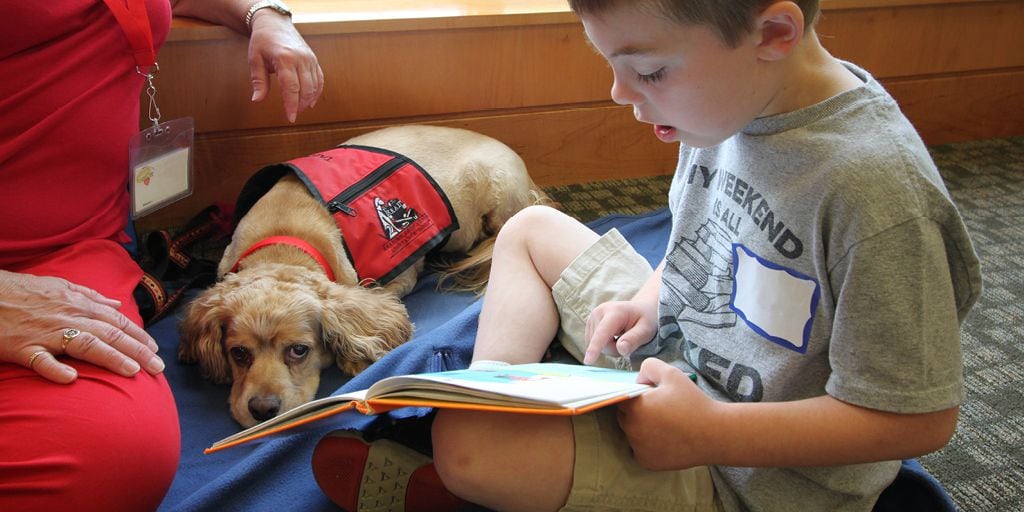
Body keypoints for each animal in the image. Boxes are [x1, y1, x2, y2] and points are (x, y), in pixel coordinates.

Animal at [179, 124, 548, 428]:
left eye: (299, 350)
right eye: (238, 353)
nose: (262, 410)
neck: (284, 239)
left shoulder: (394, 279)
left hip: (497, 192)